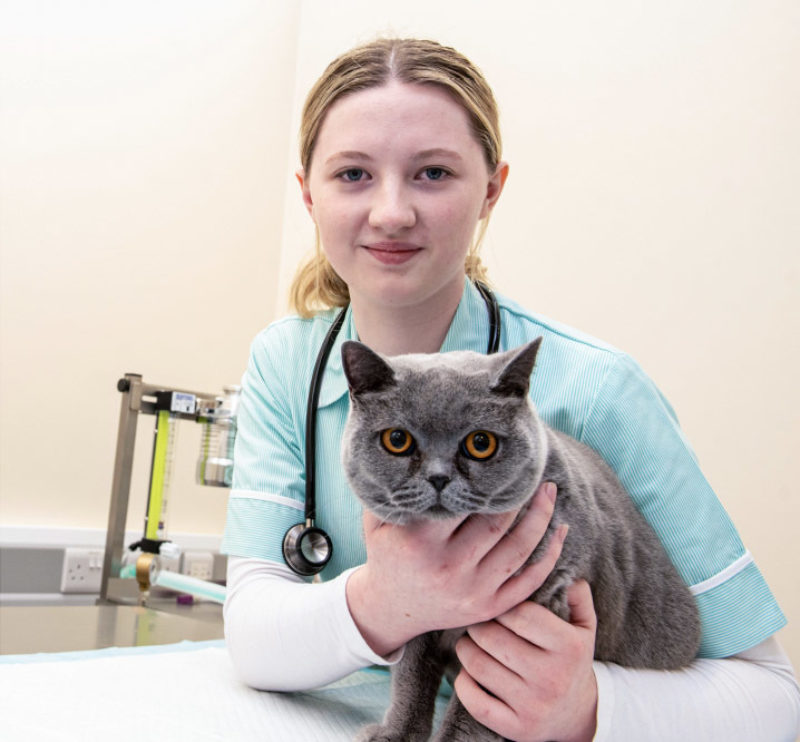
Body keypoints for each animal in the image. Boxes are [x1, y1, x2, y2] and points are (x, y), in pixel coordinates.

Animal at [340, 338, 700, 742]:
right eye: (397, 440)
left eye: (480, 443)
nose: (438, 477)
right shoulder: (414, 606)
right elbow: (410, 679)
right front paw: (396, 733)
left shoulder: (524, 620)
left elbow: (479, 708)